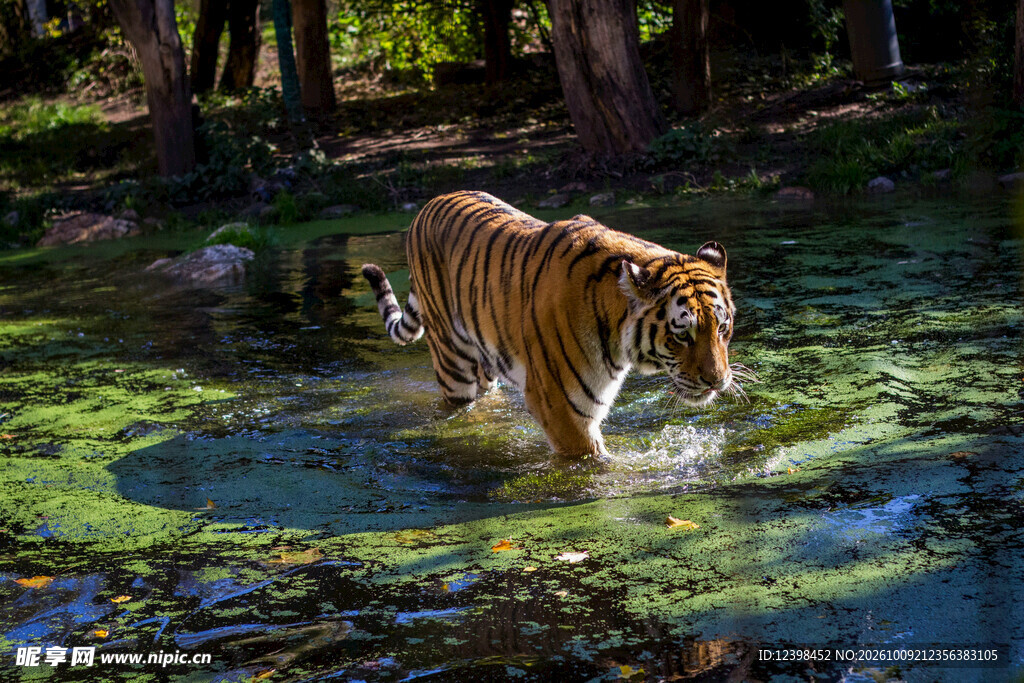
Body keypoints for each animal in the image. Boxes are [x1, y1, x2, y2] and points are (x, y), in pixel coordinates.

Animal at [361, 190, 741, 458]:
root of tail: (426, 207)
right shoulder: (561, 407)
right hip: (453, 362)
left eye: (722, 329)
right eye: (683, 335)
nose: (717, 381)